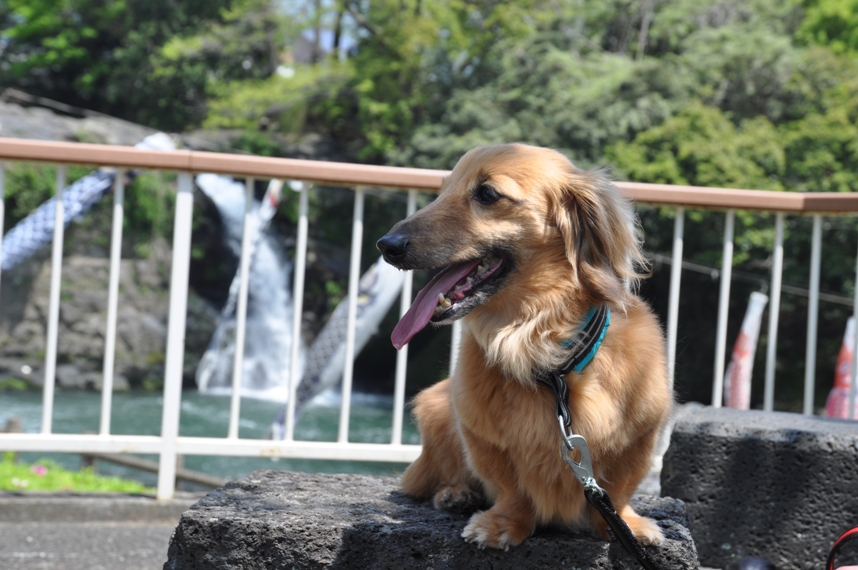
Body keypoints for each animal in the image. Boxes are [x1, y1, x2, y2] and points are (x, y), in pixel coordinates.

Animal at [378, 144, 672, 548]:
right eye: (442, 191)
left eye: (487, 194)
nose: (385, 245)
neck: (543, 354)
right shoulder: (480, 433)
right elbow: (510, 486)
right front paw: (503, 524)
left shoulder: (642, 436)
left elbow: (620, 487)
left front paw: (626, 524)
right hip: (437, 412)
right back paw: (455, 494)